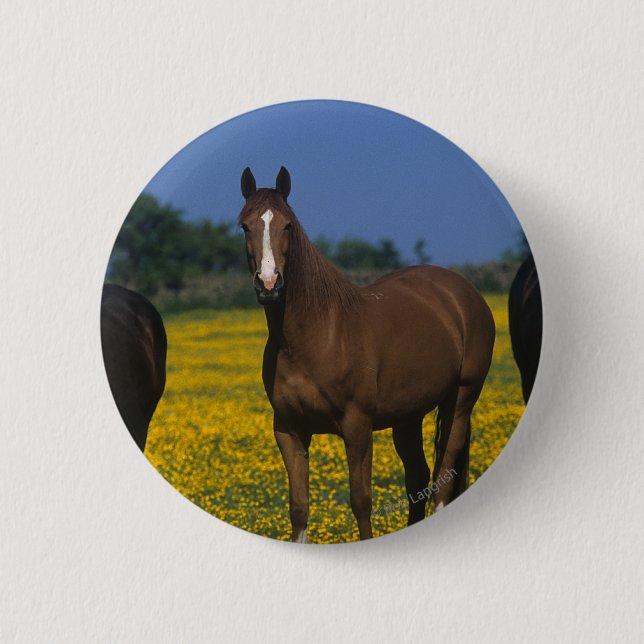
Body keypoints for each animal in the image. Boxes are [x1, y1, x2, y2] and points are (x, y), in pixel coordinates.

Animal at [237, 167, 495, 541]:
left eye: (287, 225)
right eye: (245, 226)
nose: (269, 284)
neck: (312, 337)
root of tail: (463, 292)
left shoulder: (357, 427)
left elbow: (360, 502)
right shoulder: (289, 430)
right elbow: (298, 507)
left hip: (459, 402)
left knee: (443, 480)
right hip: (408, 416)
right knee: (418, 479)